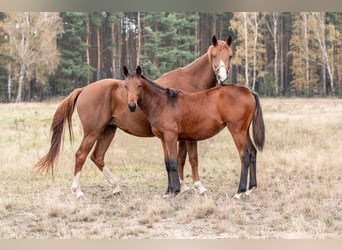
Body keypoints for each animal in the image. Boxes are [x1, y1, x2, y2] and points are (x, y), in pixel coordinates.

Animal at [34, 35, 234, 197]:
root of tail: (84, 89)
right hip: (93, 132)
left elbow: (181, 158)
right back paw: (77, 190)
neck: (188, 83)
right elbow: (188, 158)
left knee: (97, 157)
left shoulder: (180, 134)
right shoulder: (185, 134)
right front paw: (196, 187)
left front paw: (183, 186)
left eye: (230, 55)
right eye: (214, 55)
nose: (223, 78)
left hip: (108, 130)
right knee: (81, 155)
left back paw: (116, 186)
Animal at [123, 65, 264, 198]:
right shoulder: (163, 139)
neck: (162, 103)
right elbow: (167, 163)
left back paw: (239, 192)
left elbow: (173, 162)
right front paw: (168, 192)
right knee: (252, 152)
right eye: (125, 86)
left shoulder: (171, 136)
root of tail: (249, 91)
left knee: (244, 155)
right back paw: (250, 189)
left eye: (139, 85)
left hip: (237, 130)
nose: (131, 106)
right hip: (245, 131)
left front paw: (175, 191)